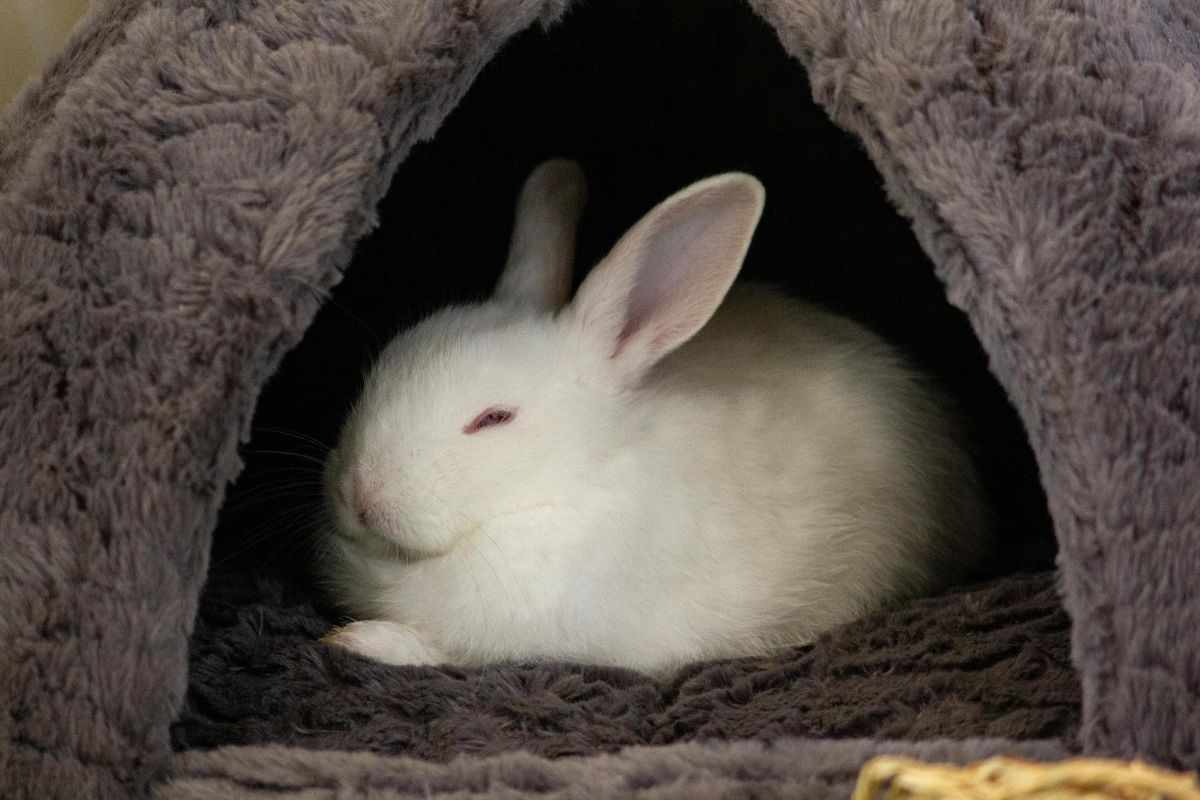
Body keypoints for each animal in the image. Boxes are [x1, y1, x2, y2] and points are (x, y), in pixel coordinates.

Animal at [318, 158, 990, 675]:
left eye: (494, 418)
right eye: (381, 370)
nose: (359, 492)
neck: (558, 495)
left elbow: (449, 651)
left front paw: (361, 641)